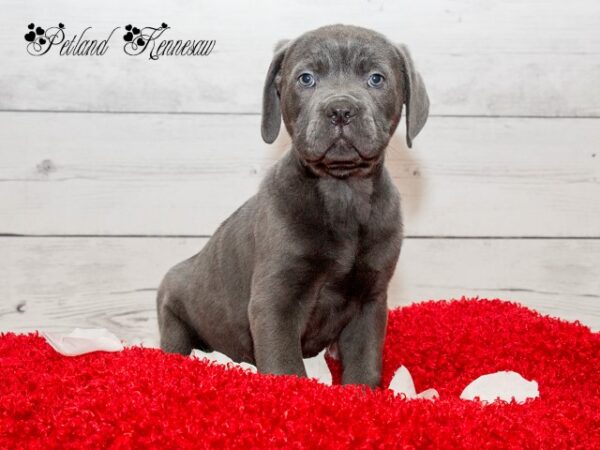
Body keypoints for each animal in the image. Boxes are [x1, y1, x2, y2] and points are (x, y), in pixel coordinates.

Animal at [157, 23, 428, 386]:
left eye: (376, 78)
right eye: (306, 78)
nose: (340, 110)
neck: (341, 192)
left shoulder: (370, 300)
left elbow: (364, 363)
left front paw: (361, 393)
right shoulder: (276, 301)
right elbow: (285, 365)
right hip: (171, 306)